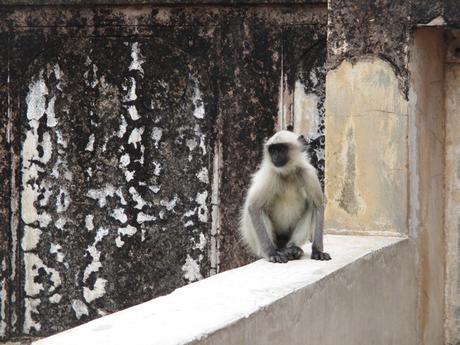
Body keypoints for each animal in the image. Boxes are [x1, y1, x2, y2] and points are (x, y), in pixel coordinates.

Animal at [241, 130, 330, 262]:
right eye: (272, 150)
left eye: (281, 149)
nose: (275, 156)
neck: (287, 173)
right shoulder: (270, 175)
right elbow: (254, 208)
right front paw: (272, 253)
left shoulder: (307, 173)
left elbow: (318, 205)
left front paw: (317, 251)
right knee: (261, 210)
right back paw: (279, 251)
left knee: (311, 207)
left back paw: (293, 249)